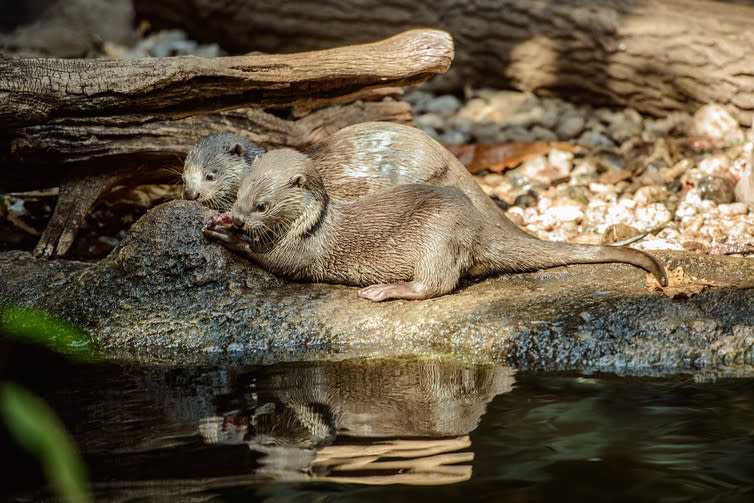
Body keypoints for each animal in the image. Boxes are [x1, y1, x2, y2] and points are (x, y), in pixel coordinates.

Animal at [203, 148, 668, 302]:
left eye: (261, 205)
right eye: (239, 194)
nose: (239, 216)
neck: (310, 224)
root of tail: (479, 227)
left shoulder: (302, 251)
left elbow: (275, 261)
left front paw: (229, 234)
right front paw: (222, 220)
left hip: (437, 236)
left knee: (437, 284)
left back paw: (385, 290)